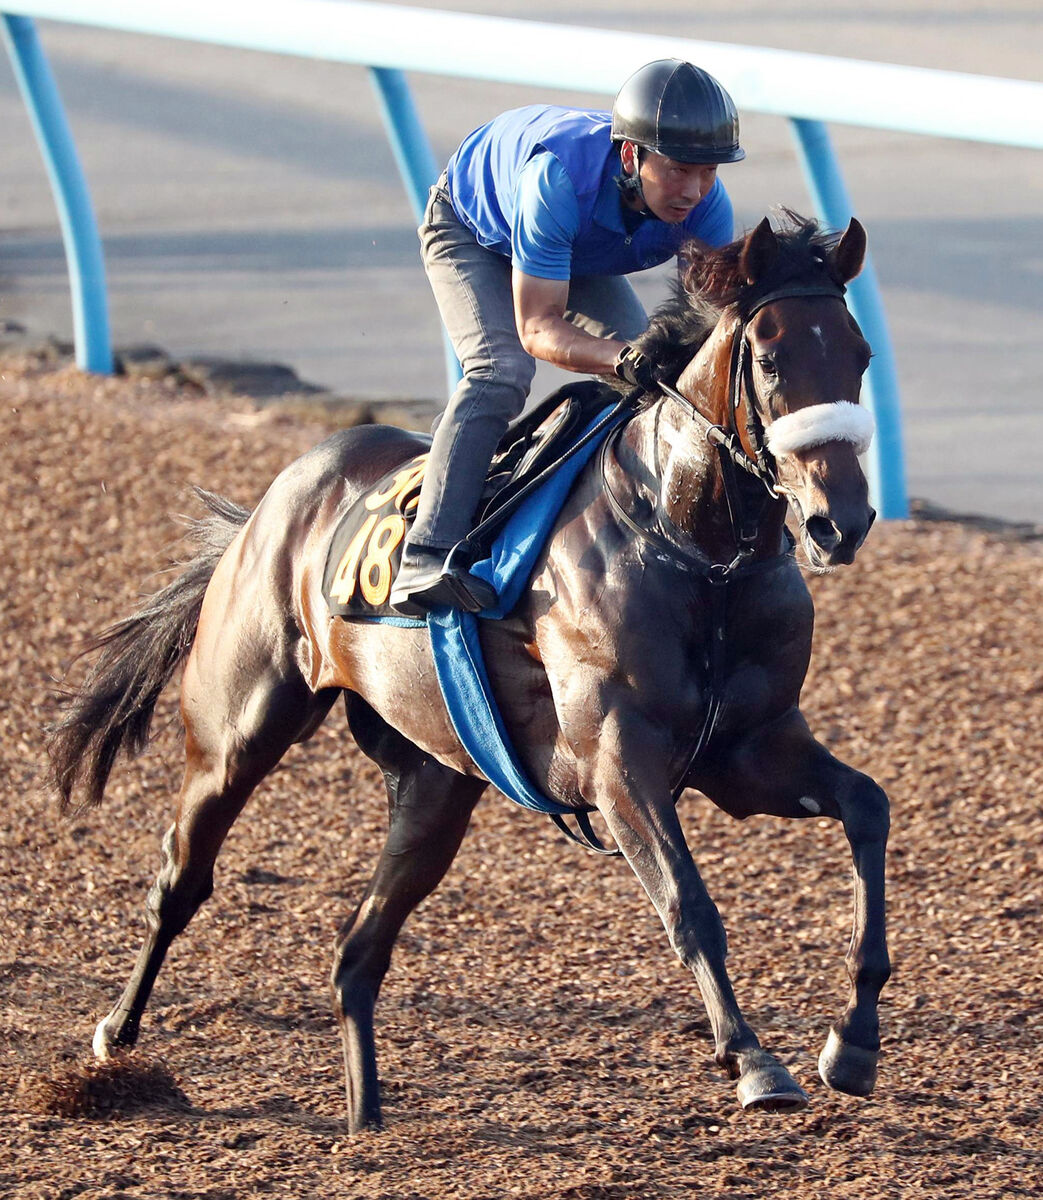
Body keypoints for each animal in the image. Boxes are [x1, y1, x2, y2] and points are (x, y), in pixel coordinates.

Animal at [48, 213, 888, 1123]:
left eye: (859, 353)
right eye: (768, 358)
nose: (839, 521)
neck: (692, 549)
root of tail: (273, 502)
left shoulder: (747, 752)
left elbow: (867, 809)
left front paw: (852, 1043)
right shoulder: (619, 764)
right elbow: (687, 903)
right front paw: (753, 1060)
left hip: (435, 783)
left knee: (357, 954)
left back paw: (366, 1118)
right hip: (236, 733)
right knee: (181, 879)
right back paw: (116, 1036)